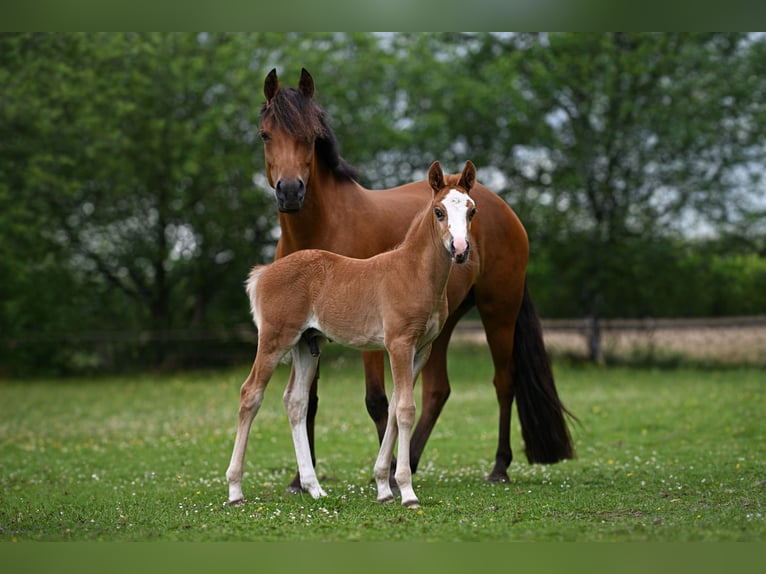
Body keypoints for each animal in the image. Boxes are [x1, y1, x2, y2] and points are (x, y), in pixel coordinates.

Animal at [226, 160, 478, 508]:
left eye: (471, 210)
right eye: (439, 211)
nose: (460, 249)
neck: (413, 273)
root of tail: (264, 273)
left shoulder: (421, 350)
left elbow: (395, 406)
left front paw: (384, 487)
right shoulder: (398, 344)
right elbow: (405, 410)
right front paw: (406, 492)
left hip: (306, 344)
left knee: (296, 402)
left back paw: (314, 487)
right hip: (275, 340)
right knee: (250, 394)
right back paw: (235, 490)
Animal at [256, 68, 574, 494]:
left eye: (309, 136)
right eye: (265, 134)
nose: (290, 192)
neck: (322, 232)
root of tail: (503, 208)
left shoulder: (373, 337)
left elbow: (378, 401)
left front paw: (388, 472)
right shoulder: (311, 333)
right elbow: (312, 401)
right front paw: (300, 479)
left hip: (498, 312)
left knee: (503, 382)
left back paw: (499, 466)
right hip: (443, 323)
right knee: (438, 389)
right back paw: (417, 458)